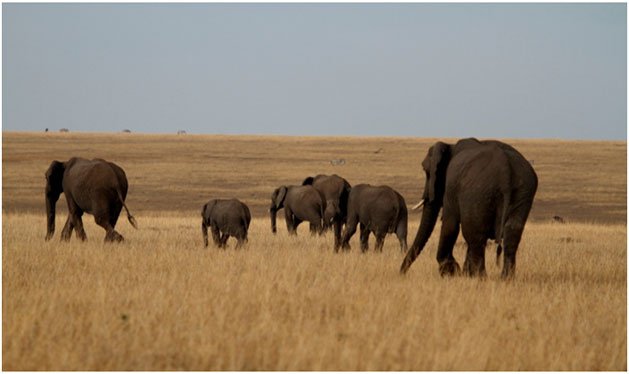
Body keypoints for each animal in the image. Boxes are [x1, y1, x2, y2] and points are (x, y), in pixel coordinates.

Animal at [400, 137, 536, 278]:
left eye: (426, 171)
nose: (402, 274)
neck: (451, 146)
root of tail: (506, 171)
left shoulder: (451, 186)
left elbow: (450, 225)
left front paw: (451, 272)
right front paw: (462, 273)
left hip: (478, 192)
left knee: (475, 236)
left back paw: (481, 278)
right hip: (523, 191)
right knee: (512, 234)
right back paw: (505, 279)